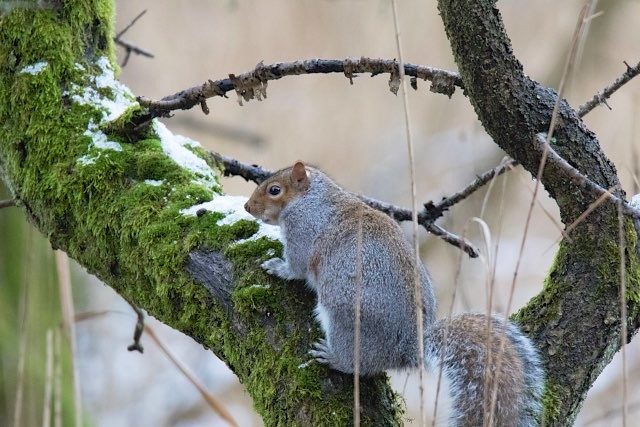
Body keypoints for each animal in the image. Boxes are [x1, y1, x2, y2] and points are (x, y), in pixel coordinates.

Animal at [244, 162, 544, 426]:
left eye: (274, 190)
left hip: (345, 320)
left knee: (357, 364)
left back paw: (333, 357)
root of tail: (407, 347)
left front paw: (277, 267)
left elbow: (296, 266)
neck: (311, 199)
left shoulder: (303, 233)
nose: (247, 207)